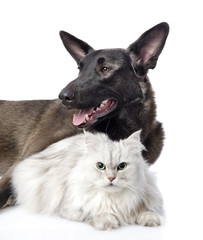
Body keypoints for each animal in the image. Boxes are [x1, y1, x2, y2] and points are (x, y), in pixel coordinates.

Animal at [11, 131, 163, 231]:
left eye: (122, 166)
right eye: (100, 166)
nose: (111, 178)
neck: (112, 199)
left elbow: (147, 211)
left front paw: (149, 219)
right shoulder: (68, 208)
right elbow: (90, 214)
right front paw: (108, 222)